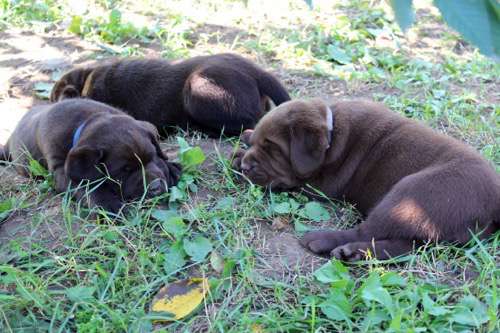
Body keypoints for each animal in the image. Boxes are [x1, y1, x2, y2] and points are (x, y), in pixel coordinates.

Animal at [0, 99, 183, 213]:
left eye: (152, 157)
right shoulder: (61, 169)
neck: (87, 120)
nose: (156, 187)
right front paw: (107, 204)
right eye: (124, 170)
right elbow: (85, 186)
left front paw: (171, 168)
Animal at [234, 98, 500, 260]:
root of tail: (496, 204)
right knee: (405, 245)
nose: (247, 166)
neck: (332, 134)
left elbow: (294, 182)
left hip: (411, 194)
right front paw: (245, 138)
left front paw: (237, 157)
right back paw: (353, 254)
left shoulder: (320, 185)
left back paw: (324, 241)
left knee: (367, 230)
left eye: (272, 148)